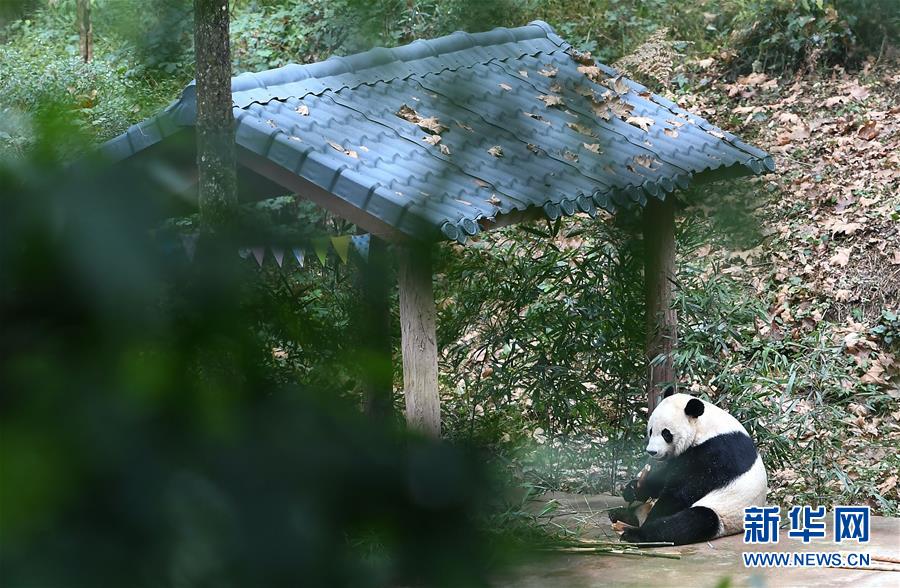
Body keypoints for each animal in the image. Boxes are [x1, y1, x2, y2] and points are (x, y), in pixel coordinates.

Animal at [604, 388, 768, 544]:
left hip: (725, 511)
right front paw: (633, 489)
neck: (704, 428)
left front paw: (654, 513)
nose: (652, 451)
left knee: (691, 522)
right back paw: (620, 514)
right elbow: (665, 477)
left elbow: (682, 491)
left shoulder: (718, 453)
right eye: (651, 430)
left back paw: (636, 533)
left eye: (666, 433)